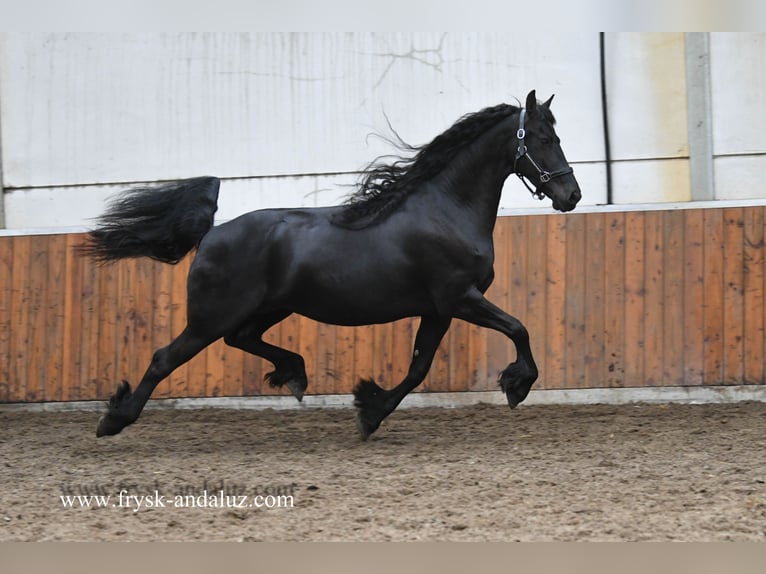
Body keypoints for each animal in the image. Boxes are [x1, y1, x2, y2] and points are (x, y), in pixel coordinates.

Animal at [82, 90, 581, 440]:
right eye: (544, 139)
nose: (571, 195)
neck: (446, 208)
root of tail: (210, 234)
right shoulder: (460, 298)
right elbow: (518, 328)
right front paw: (517, 384)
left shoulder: (438, 309)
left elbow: (418, 368)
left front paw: (370, 412)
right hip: (212, 316)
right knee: (165, 358)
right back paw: (114, 420)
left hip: (269, 308)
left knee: (241, 338)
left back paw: (294, 374)